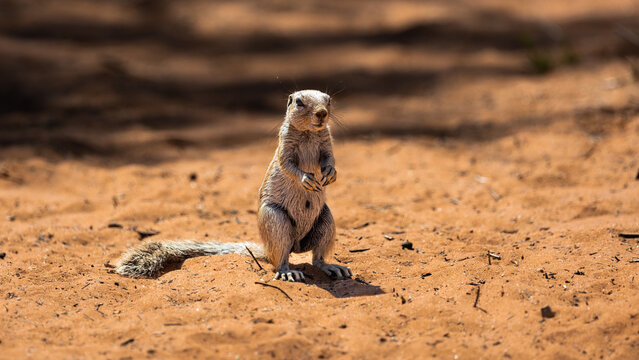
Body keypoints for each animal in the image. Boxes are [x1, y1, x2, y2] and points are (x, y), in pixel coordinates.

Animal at [117, 89, 352, 282]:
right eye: (299, 102)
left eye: (328, 100)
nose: (322, 113)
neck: (309, 134)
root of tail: (294, 246)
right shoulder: (285, 147)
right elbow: (288, 166)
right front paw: (306, 179)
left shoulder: (327, 143)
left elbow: (330, 159)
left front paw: (330, 174)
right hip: (276, 220)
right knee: (281, 260)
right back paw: (287, 272)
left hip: (326, 220)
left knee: (317, 258)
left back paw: (332, 267)